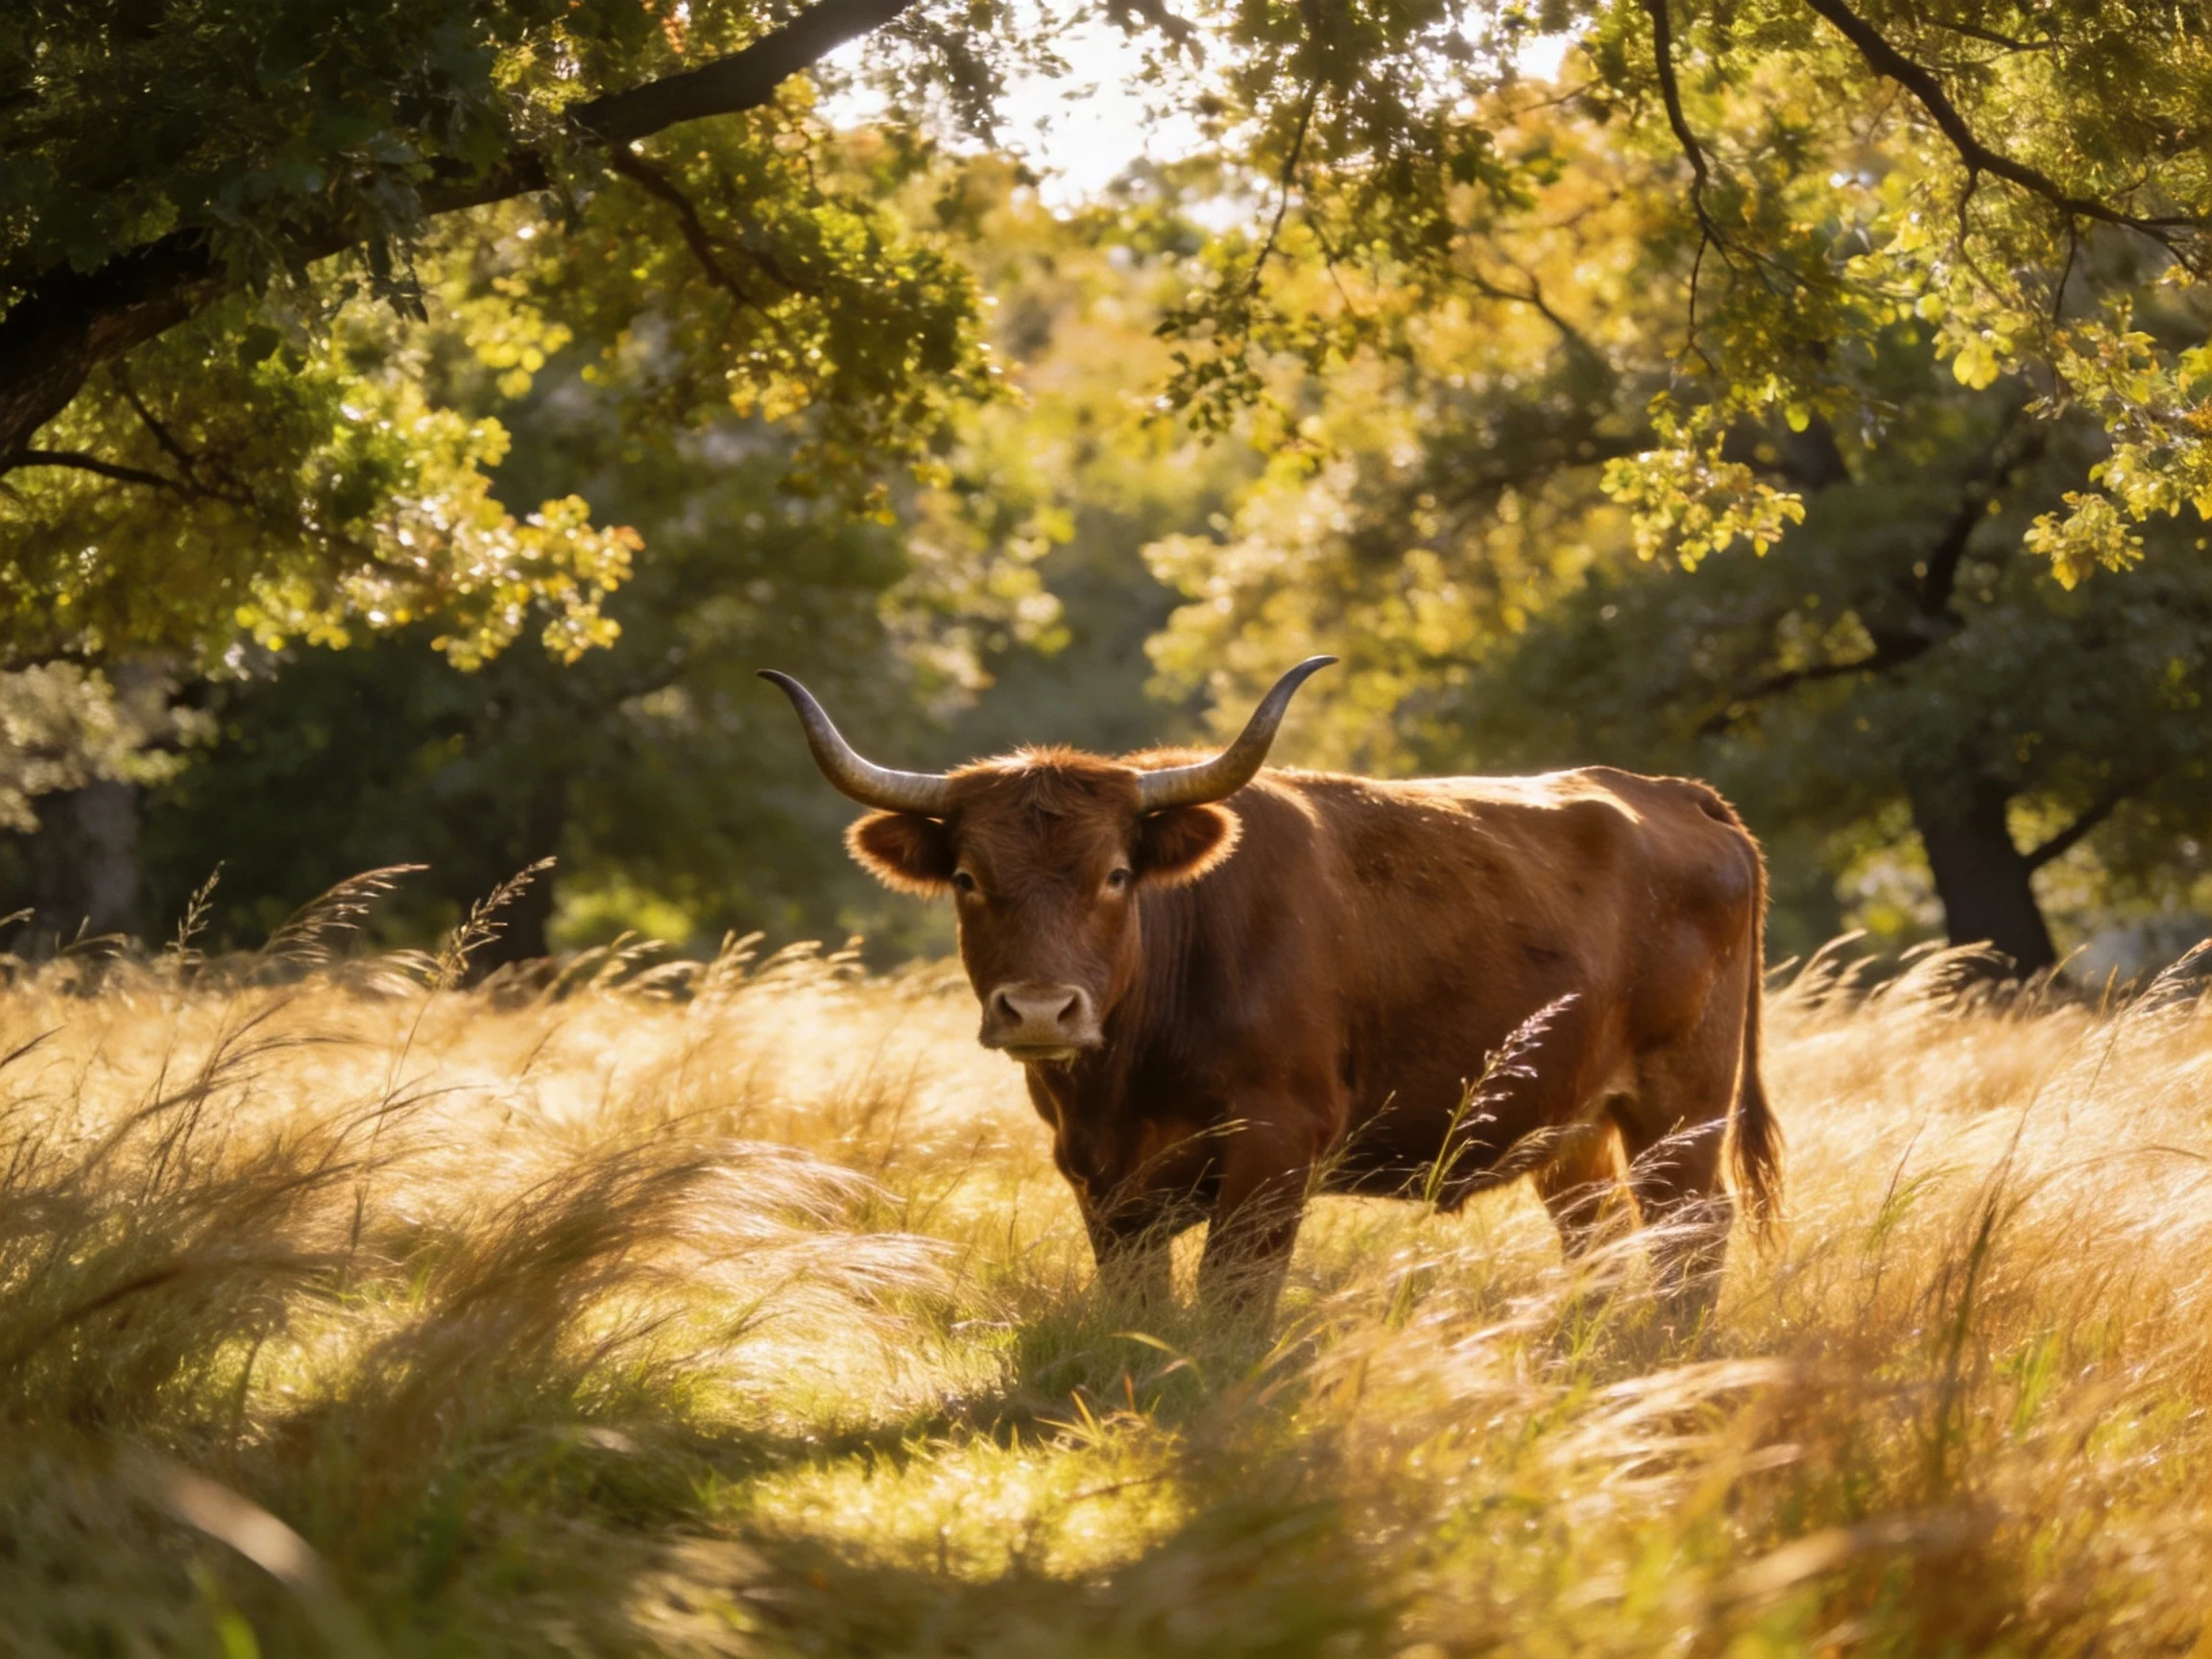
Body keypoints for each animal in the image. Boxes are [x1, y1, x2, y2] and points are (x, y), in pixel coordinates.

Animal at [761, 658, 1779, 1322]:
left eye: (1117, 875)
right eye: (969, 878)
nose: (1042, 1010)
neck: (1122, 1080)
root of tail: (1671, 793)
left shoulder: (1276, 1149)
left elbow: (1232, 1306)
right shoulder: (1101, 1181)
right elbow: (1141, 1308)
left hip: (1681, 1106)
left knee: (1688, 1235)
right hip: (1569, 1129)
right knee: (1599, 1243)